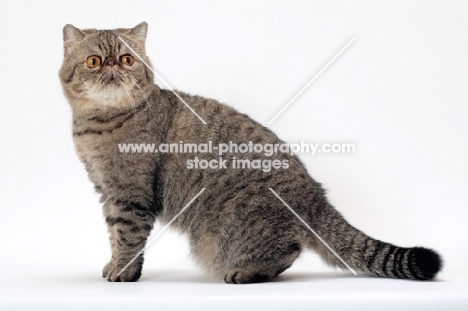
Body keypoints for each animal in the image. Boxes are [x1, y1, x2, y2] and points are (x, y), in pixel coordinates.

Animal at [59, 23, 442, 284]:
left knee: (288, 251)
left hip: (229, 226)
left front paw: (123, 271)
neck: (98, 122)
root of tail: (316, 197)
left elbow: (127, 236)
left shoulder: (131, 194)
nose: (112, 68)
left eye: (127, 59)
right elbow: (114, 234)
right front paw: (113, 264)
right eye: (94, 61)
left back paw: (246, 272)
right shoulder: (107, 191)